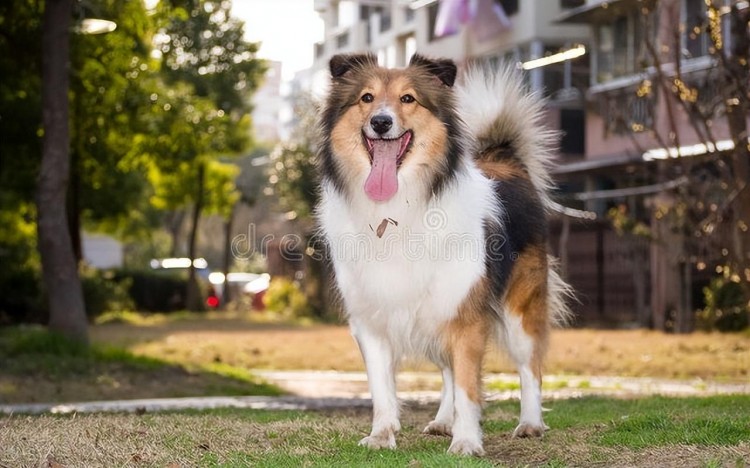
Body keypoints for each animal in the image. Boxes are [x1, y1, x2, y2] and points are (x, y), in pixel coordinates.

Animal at [316, 53, 568, 456]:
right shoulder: (372, 319)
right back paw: (443, 421)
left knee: (529, 366)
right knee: (448, 369)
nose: (381, 122)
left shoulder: (465, 314)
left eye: (408, 99)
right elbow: (382, 389)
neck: (397, 209)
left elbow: (468, 386)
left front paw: (466, 441)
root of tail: (505, 161)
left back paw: (530, 423)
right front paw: (382, 434)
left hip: (519, 307)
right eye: (366, 98)